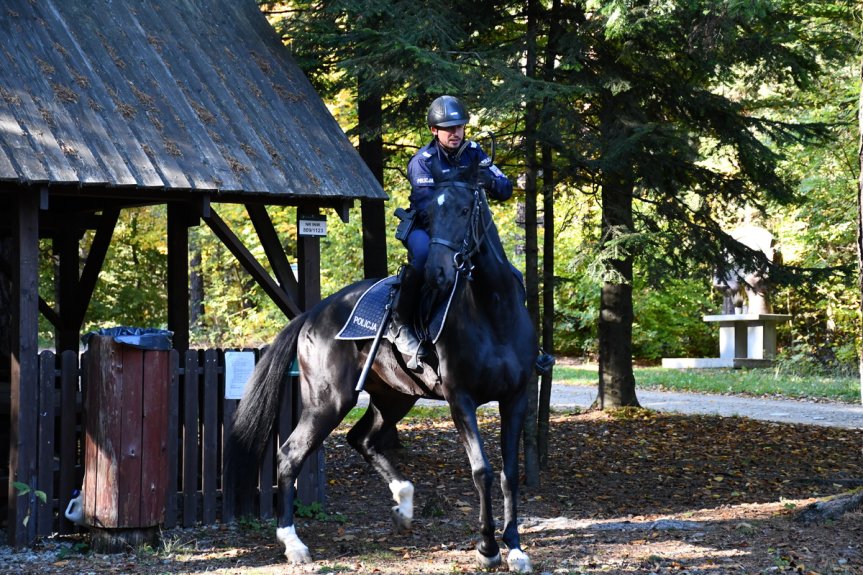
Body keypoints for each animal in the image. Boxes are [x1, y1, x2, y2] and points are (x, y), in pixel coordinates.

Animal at [230, 159, 540, 575]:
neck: (492, 310)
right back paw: (292, 542)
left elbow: (509, 475)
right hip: (329, 402)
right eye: (427, 215)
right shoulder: (461, 400)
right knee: (291, 454)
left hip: (393, 398)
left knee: (361, 438)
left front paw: (516, 548)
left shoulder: (516, 398)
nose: (438, 273)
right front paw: (488, 548)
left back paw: (404, 501)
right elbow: (482, 470)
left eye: (464, 210)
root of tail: (313, 313)